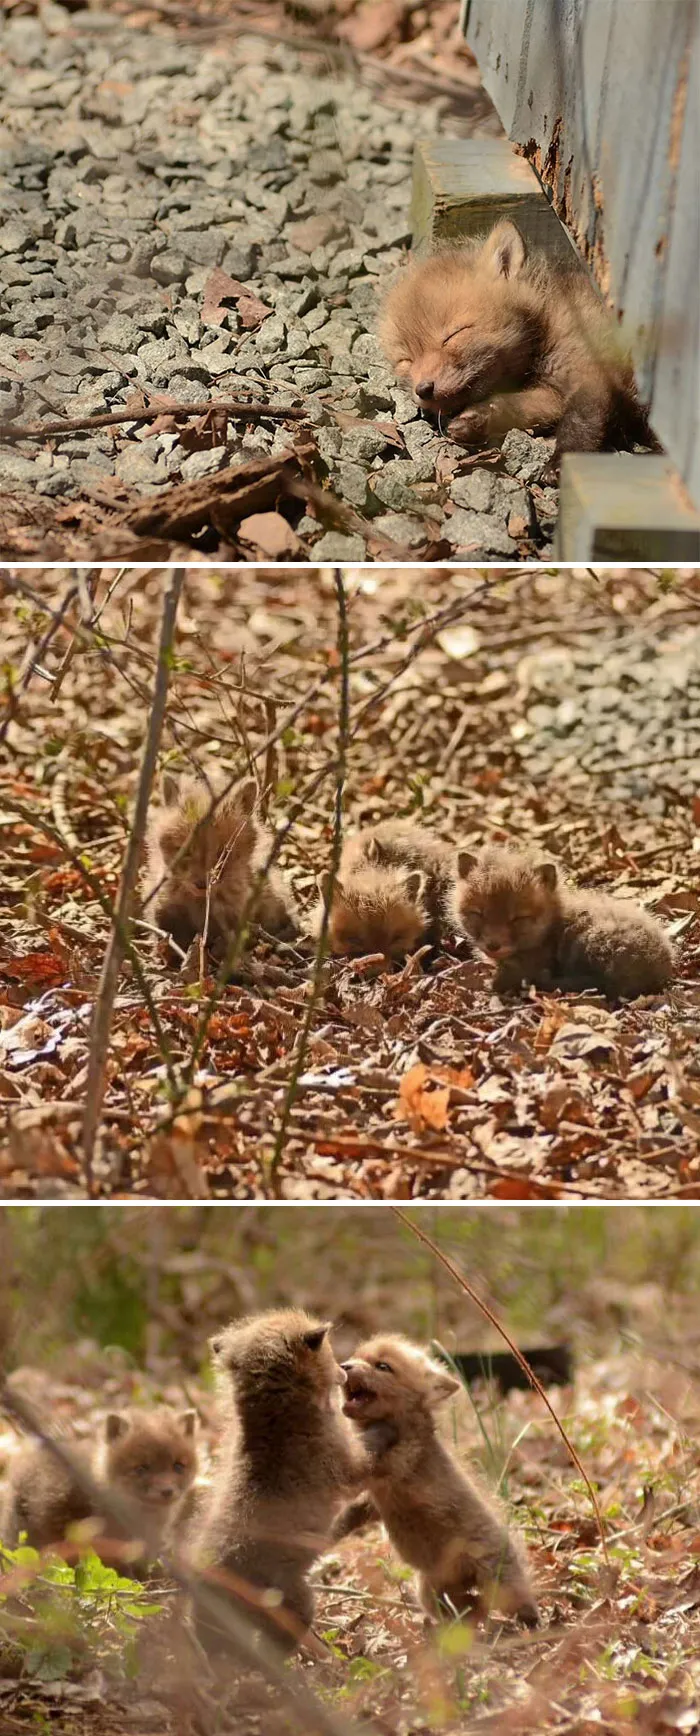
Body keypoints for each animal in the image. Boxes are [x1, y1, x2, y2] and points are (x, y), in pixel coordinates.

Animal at [142, 771, 297, 963]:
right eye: (186, 849)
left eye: (223, 852)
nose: (201, 884)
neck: (200, 904)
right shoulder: (164, 909)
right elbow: (167, 934)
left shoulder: (233, 919)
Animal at [332, 1334, 538, 1625]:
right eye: (355, 1358)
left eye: (383, 1366)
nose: (344, 1366)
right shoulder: (372, 1500)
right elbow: (349, 1514)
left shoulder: (392, 1466)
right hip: (431, 1591)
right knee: (467, 1609)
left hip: (500, 1586)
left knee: (517, 1601)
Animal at [380, 220, 655, 471]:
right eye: (406, 361)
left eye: (454, 335)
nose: (423, 390)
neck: (546, 324)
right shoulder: (551, 394)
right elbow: (513, 405)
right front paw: (477, 420)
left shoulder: (592, 372)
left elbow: (580, 421)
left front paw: (560, 463)